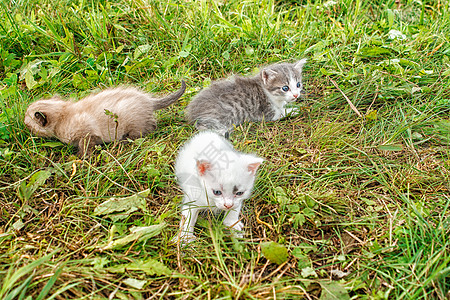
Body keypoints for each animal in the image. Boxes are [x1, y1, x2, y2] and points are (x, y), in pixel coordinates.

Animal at [24, 81, 186, 157]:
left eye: (27, 123)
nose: (23, 124)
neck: (63, 115)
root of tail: (149, 101)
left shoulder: (87, 135)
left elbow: (84, 148)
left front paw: (80, 158)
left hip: (132, 125)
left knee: (143, 132)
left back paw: (123, 142)